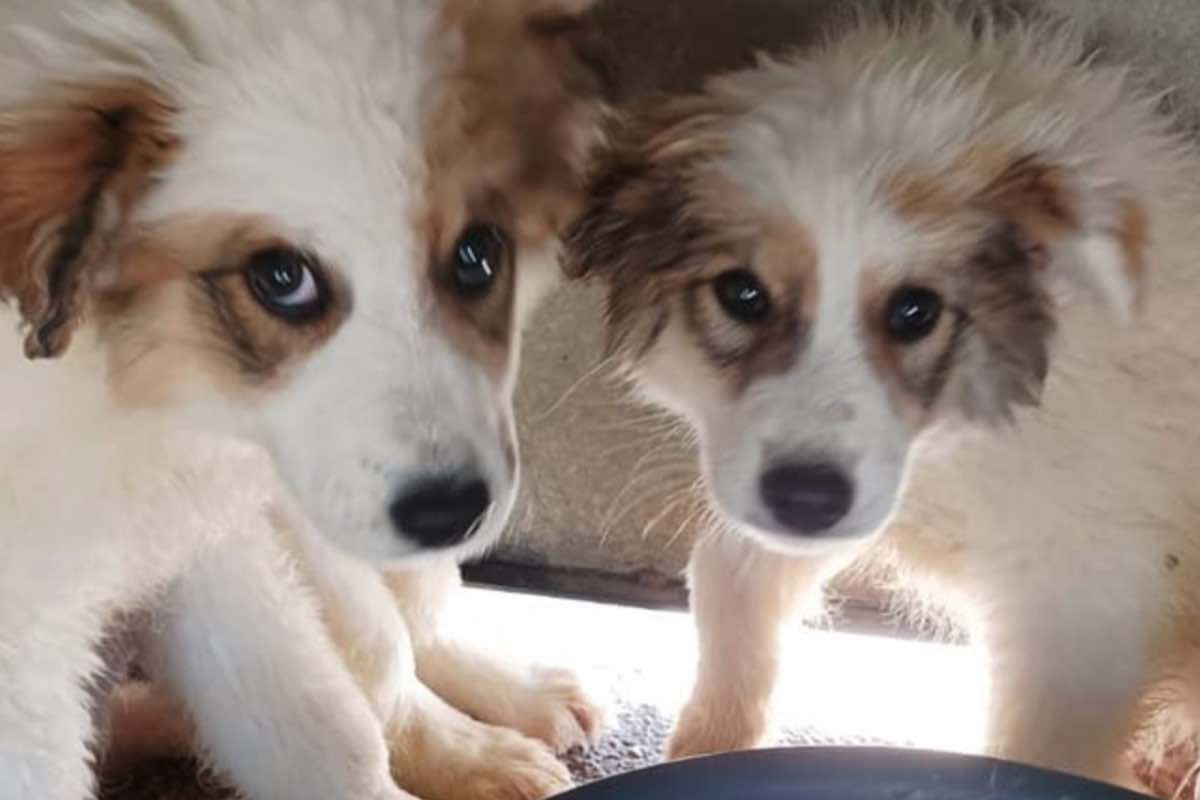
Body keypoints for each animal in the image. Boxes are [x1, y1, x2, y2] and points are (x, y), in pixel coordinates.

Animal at [566, 6, 1200, 791]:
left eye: (915, 311)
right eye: (742, 294)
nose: (805, 500)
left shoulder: (1082, 611)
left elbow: (1031, 757)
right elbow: (726, 575)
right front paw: (707, 748)